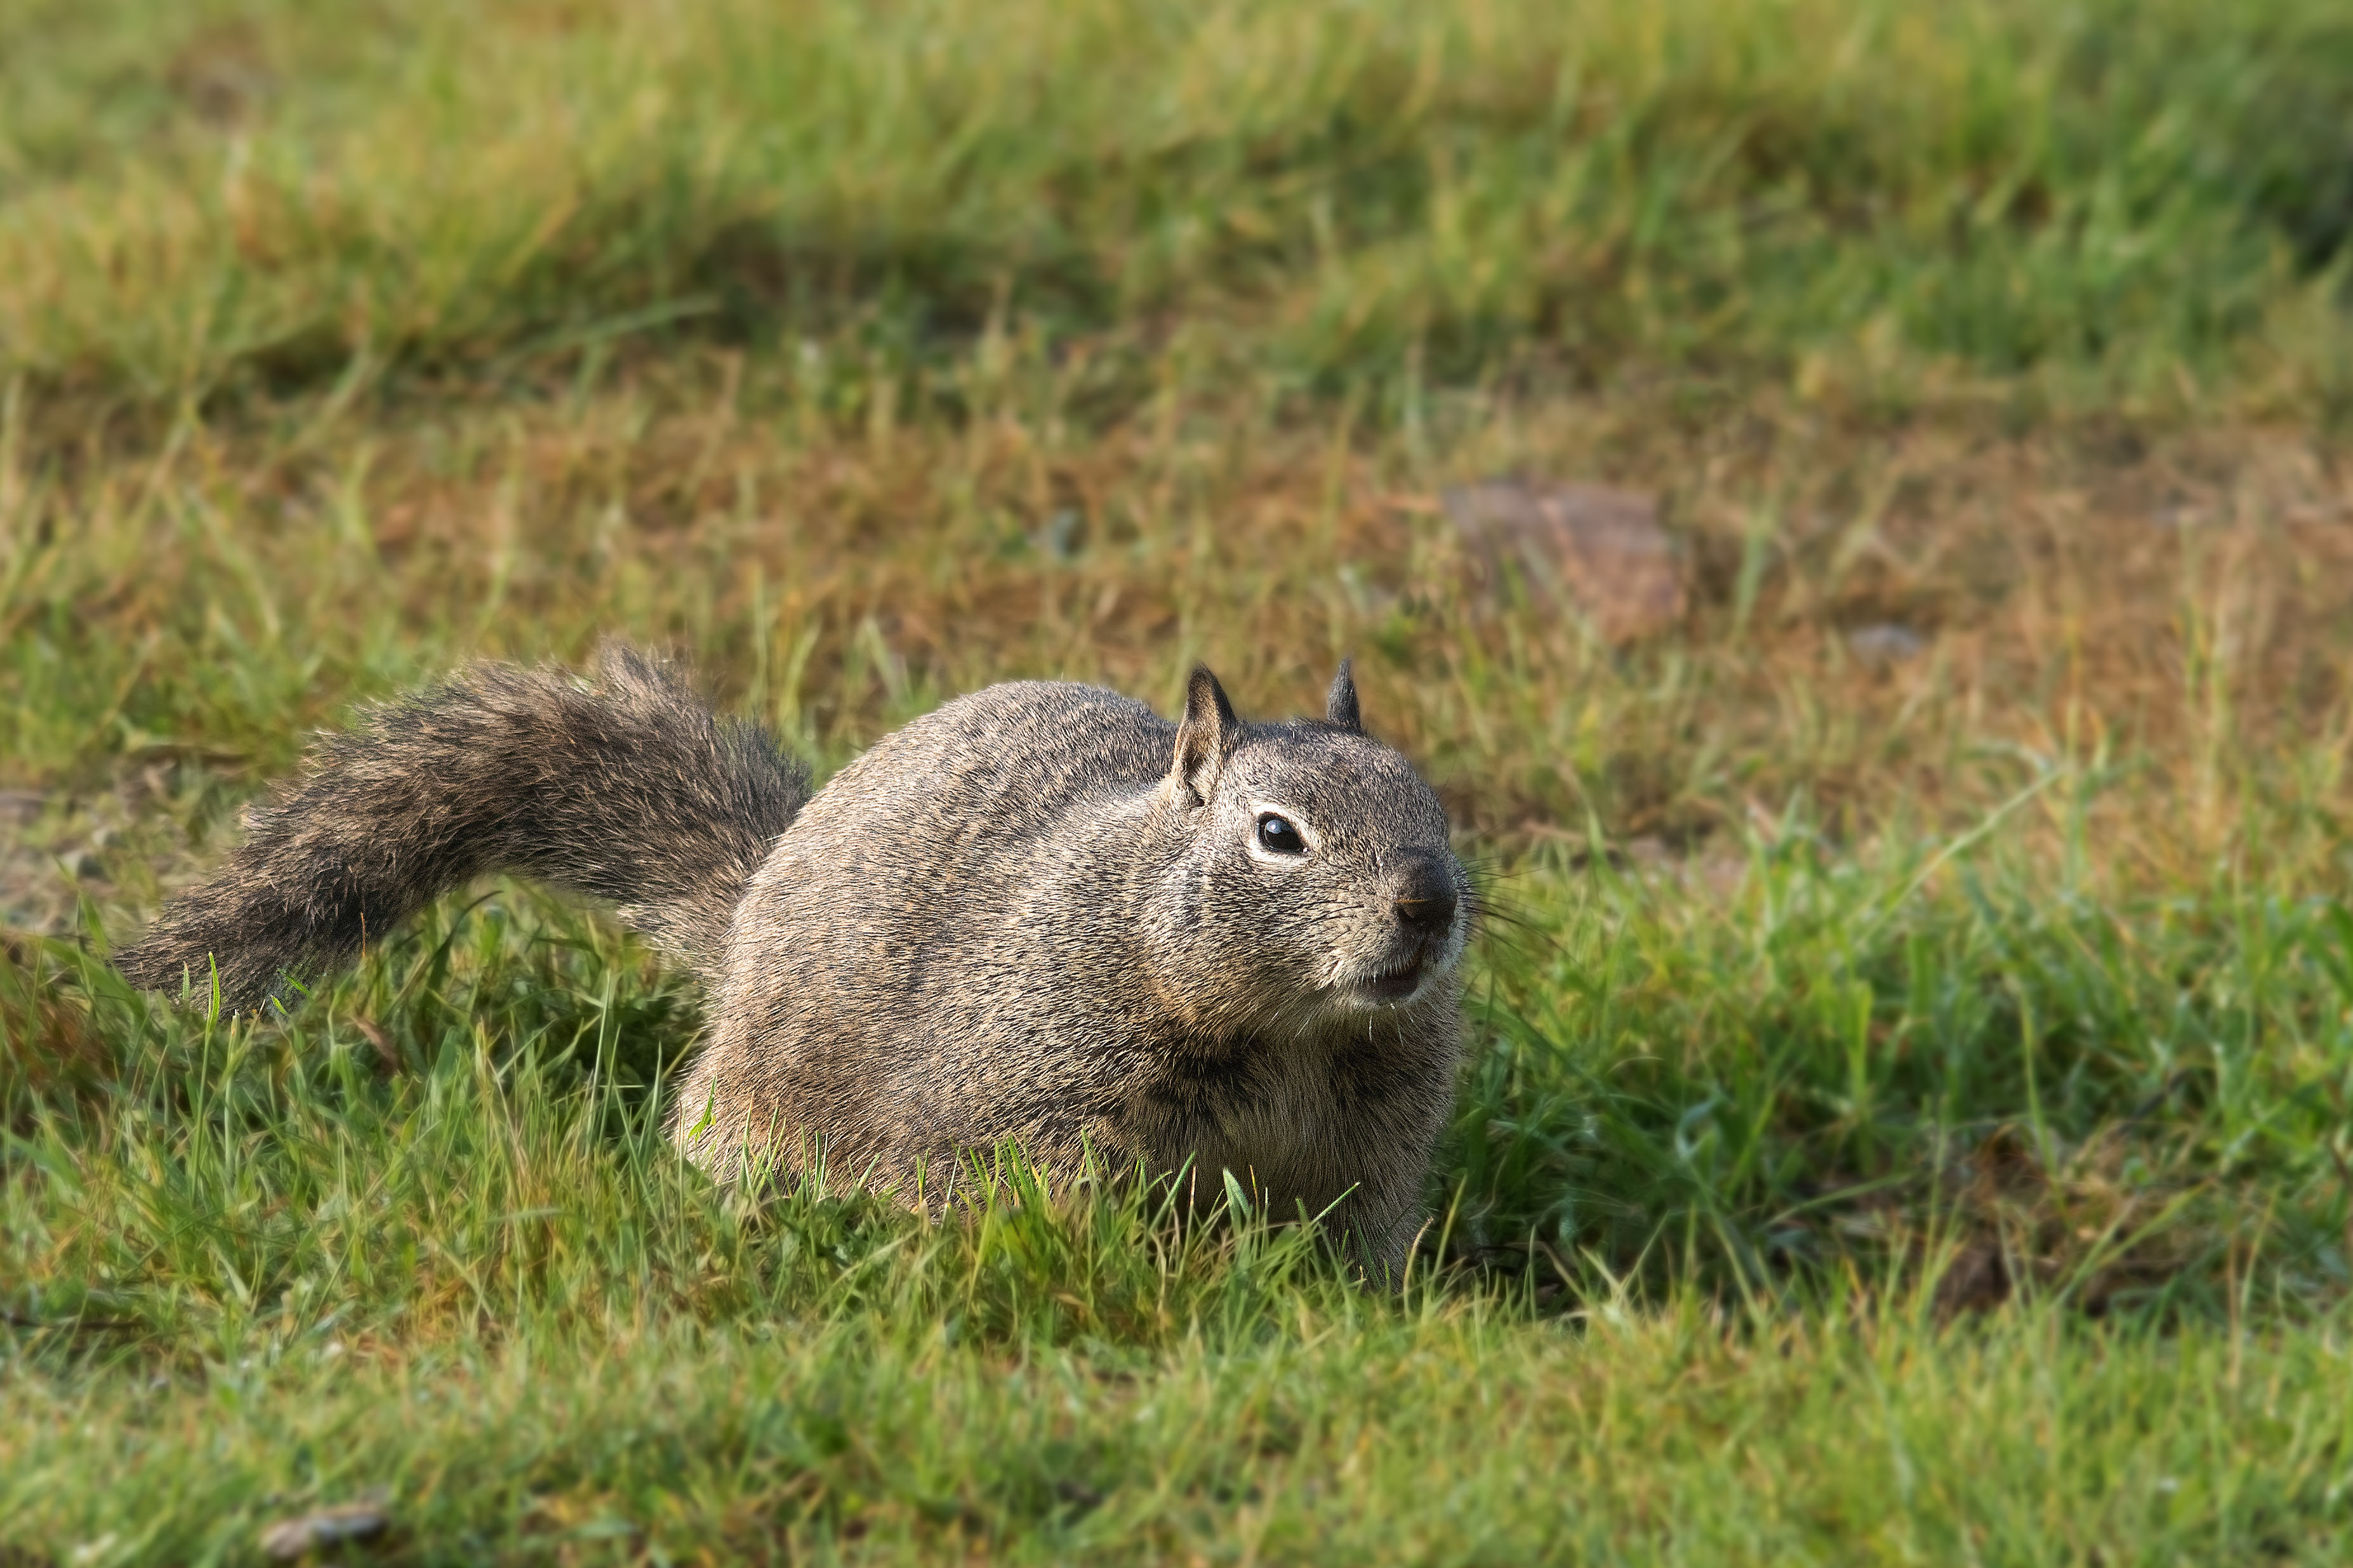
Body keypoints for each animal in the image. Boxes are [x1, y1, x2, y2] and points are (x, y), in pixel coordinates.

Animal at [124, 644, 1468, 1269]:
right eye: (1277, 834)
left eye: (1432, 801)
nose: (1428, 902)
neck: (1291, 1033)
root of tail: (752, 912)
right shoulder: (1027, 1104)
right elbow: (1041, 1208)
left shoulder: (1370, 1146)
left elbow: (1357, 1239)